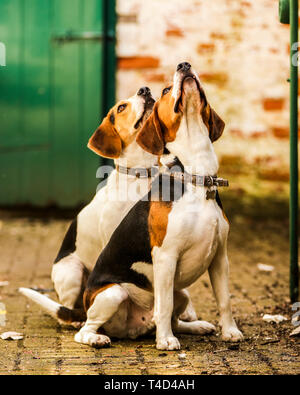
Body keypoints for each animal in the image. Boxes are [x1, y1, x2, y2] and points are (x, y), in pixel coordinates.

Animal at [64, 63, 243, 352]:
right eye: (166, 90)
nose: (184, 65)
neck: (195, 177)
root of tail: (132, 331)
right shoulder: (166, 256)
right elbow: (164, 304)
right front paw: (166, 340)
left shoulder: (220, 257)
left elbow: (224, 300)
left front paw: (230, 332)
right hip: (112, 293)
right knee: (87, 329)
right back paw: (97, 337)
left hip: (181, 292)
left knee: (175, 315)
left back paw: (194, 326)